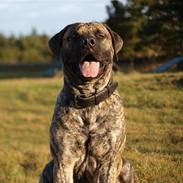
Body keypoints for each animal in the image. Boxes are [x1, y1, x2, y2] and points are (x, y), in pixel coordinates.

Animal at [39, 22, 138, 183]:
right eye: (73, 36)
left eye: (100, 35)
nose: (87, 42)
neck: (88, 99)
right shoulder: (63, 160)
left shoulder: (108, 161)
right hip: (48, 167)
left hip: (126, 166)